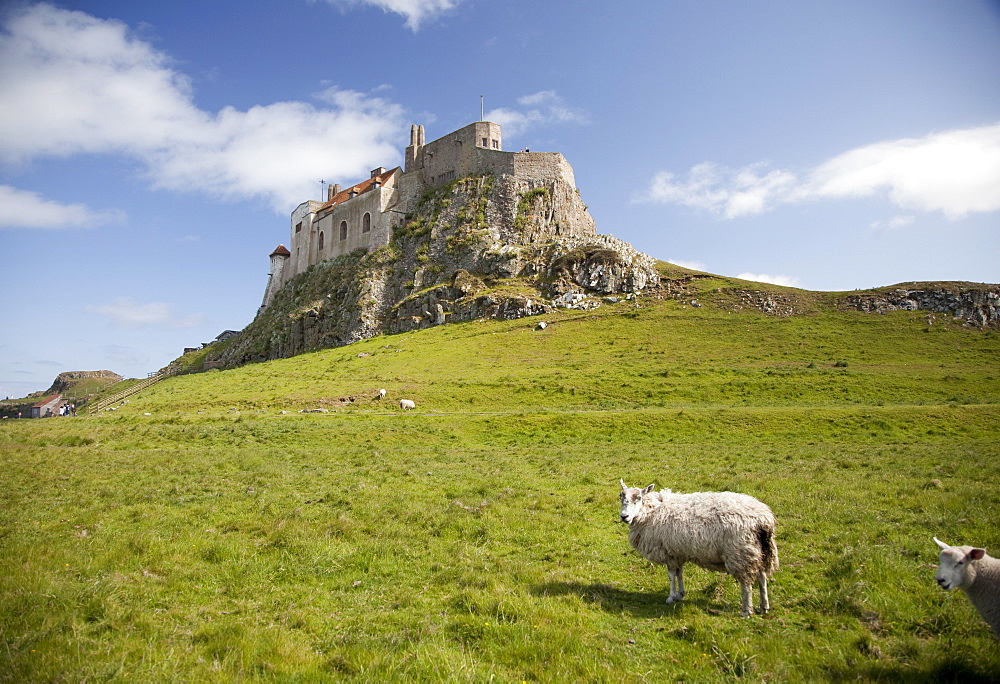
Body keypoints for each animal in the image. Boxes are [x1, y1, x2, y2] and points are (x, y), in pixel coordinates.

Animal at [616, 478, 780, 616]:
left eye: (638, 498)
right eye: (621, 497)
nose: (624, 517)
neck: (652, 512)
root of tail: (764, 519)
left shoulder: (669, 552)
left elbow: (671, 576)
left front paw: (671, 597)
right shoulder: (678, 552)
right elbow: (679, 573)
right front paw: (680, 594)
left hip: (740, 553)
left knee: (746, 583)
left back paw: (746, 611)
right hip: (758, 550)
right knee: (762, 576)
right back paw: (764, 606)